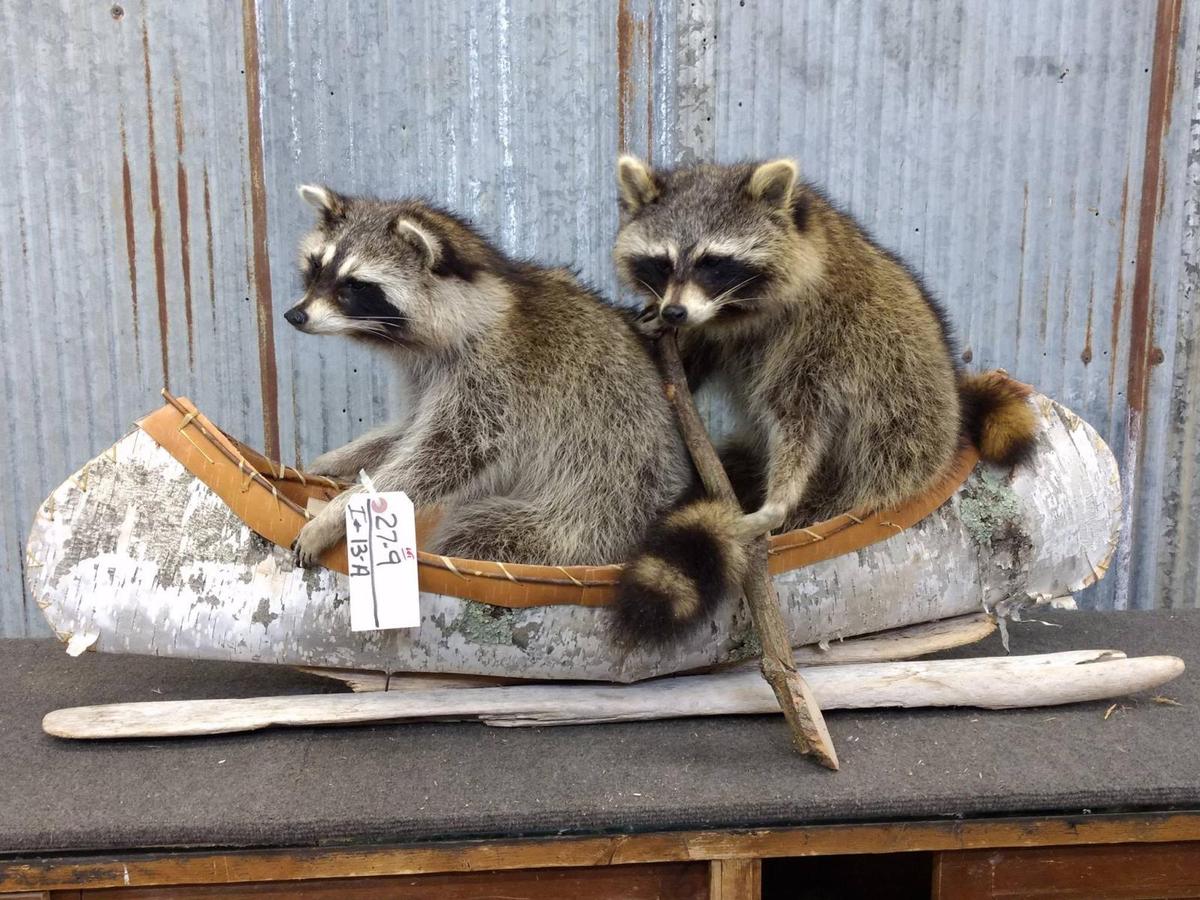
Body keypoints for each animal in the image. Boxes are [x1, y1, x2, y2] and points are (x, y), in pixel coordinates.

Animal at [284, 186, 691, 571]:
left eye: (355, 285)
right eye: (316, 266)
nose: (294, 316)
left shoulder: (498, 378)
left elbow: (446, 454)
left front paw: (340, 511)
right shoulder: (426, 373)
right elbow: (407, 431)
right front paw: (338, 460)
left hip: (595, 518)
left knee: (478, 533)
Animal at [614, 157, 1036, 648]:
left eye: (713, 263)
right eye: (661, 264)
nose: (674, 312)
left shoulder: (821, 337)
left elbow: (801, 423)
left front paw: (780, 497)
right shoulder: (719, 329)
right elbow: (691, 360)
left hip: (888, 454)